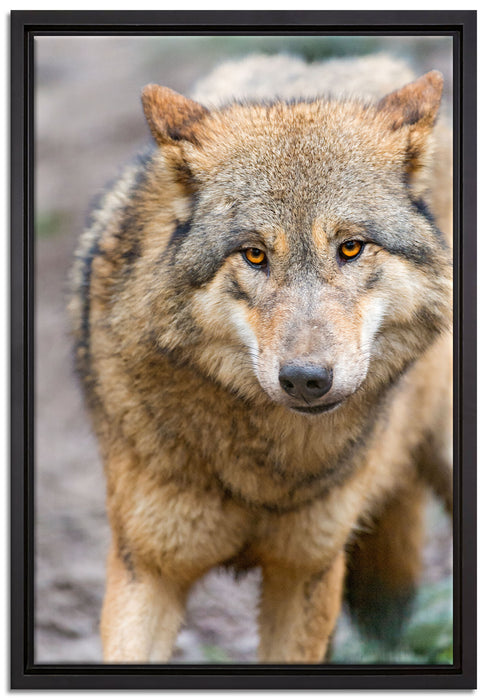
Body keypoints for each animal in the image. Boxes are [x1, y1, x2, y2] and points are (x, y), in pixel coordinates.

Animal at [69, 54, 453, 663]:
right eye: (254, 254)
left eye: (350, 247)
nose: (306, 380)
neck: (263, 473)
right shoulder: (146, 569)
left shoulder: (307, 572)